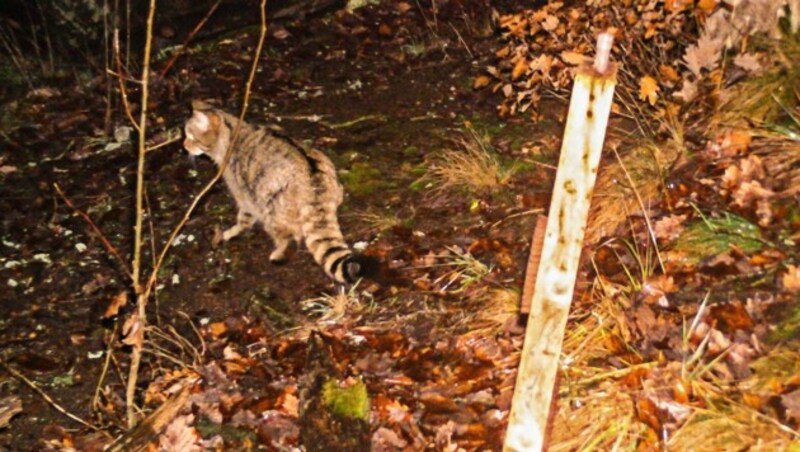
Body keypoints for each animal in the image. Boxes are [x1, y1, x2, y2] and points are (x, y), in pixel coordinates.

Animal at [184, 100, 376, 282]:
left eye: (191, 138)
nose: (184, 146)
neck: (232, 130)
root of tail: (314, 178)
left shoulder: (244, 193)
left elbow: (244, 217)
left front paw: (235, 229)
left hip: (271, 207)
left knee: (288, 237)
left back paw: (281, 250)